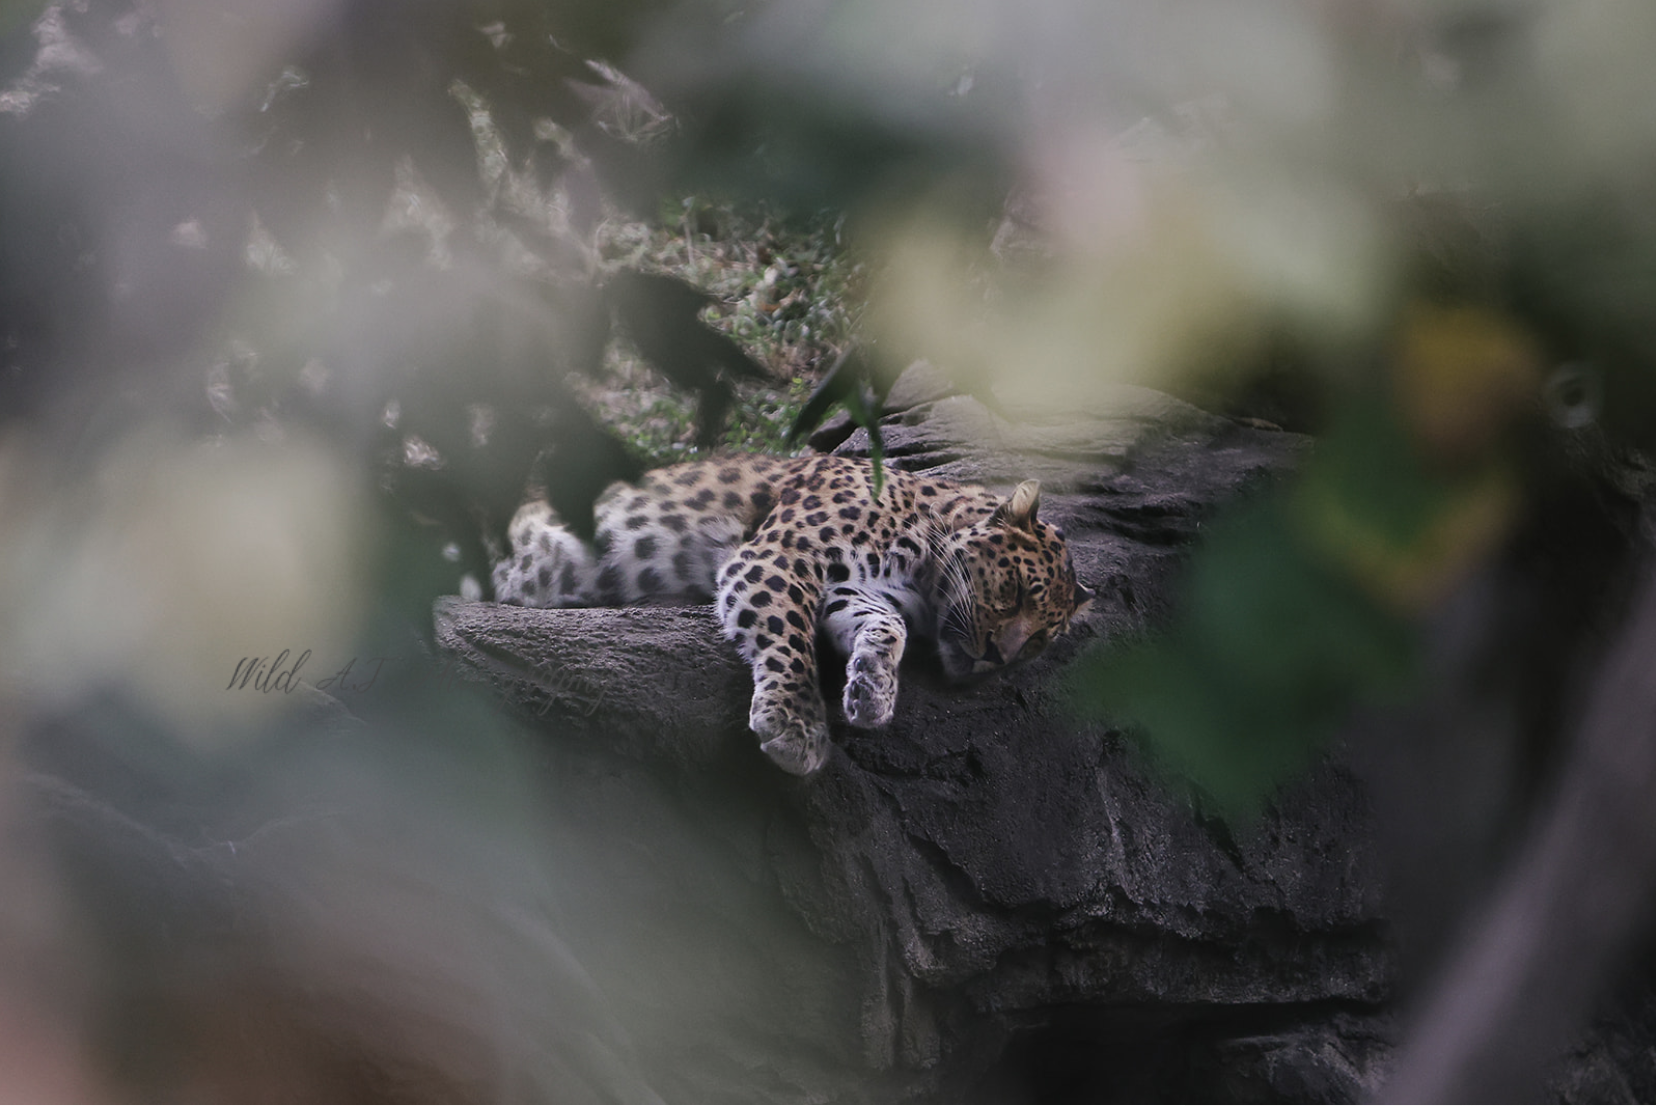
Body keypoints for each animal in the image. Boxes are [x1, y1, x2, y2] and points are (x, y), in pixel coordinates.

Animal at [492, 454, 1094, 776]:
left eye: (1039, 642)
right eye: (1016, 592)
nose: (998, 656)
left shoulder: (852, 588)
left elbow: (886, 625)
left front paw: (872, 689)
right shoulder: (782, 555)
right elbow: (788, 638)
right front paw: (796, 723)